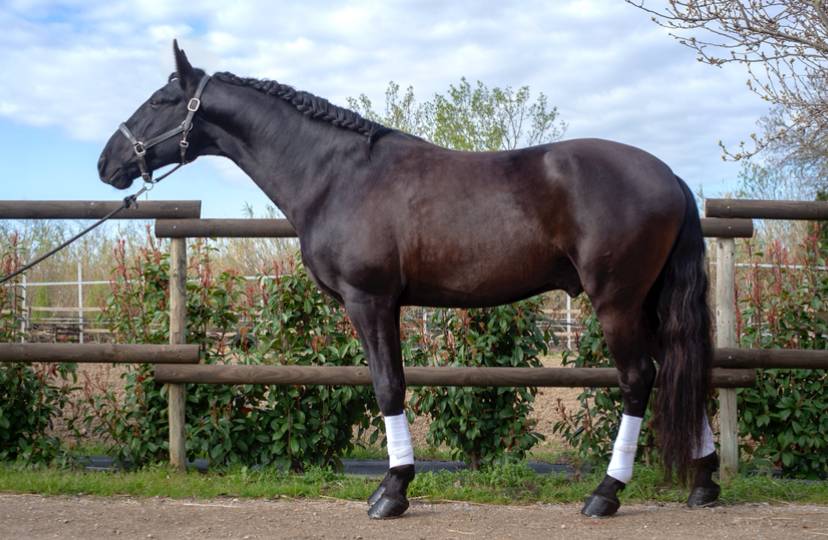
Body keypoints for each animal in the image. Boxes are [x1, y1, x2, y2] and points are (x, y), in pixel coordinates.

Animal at [98, 41, 721, 519]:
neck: (336, 174)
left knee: (640, 379)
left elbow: (388, 387)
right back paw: (704, 482)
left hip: (617, 301)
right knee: (682, 370)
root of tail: (669, 175)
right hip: (648, 302)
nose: (106, 164)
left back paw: (606, 493)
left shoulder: (369, 301)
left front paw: (391, 492)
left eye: (160, 100)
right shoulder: (386, 305)